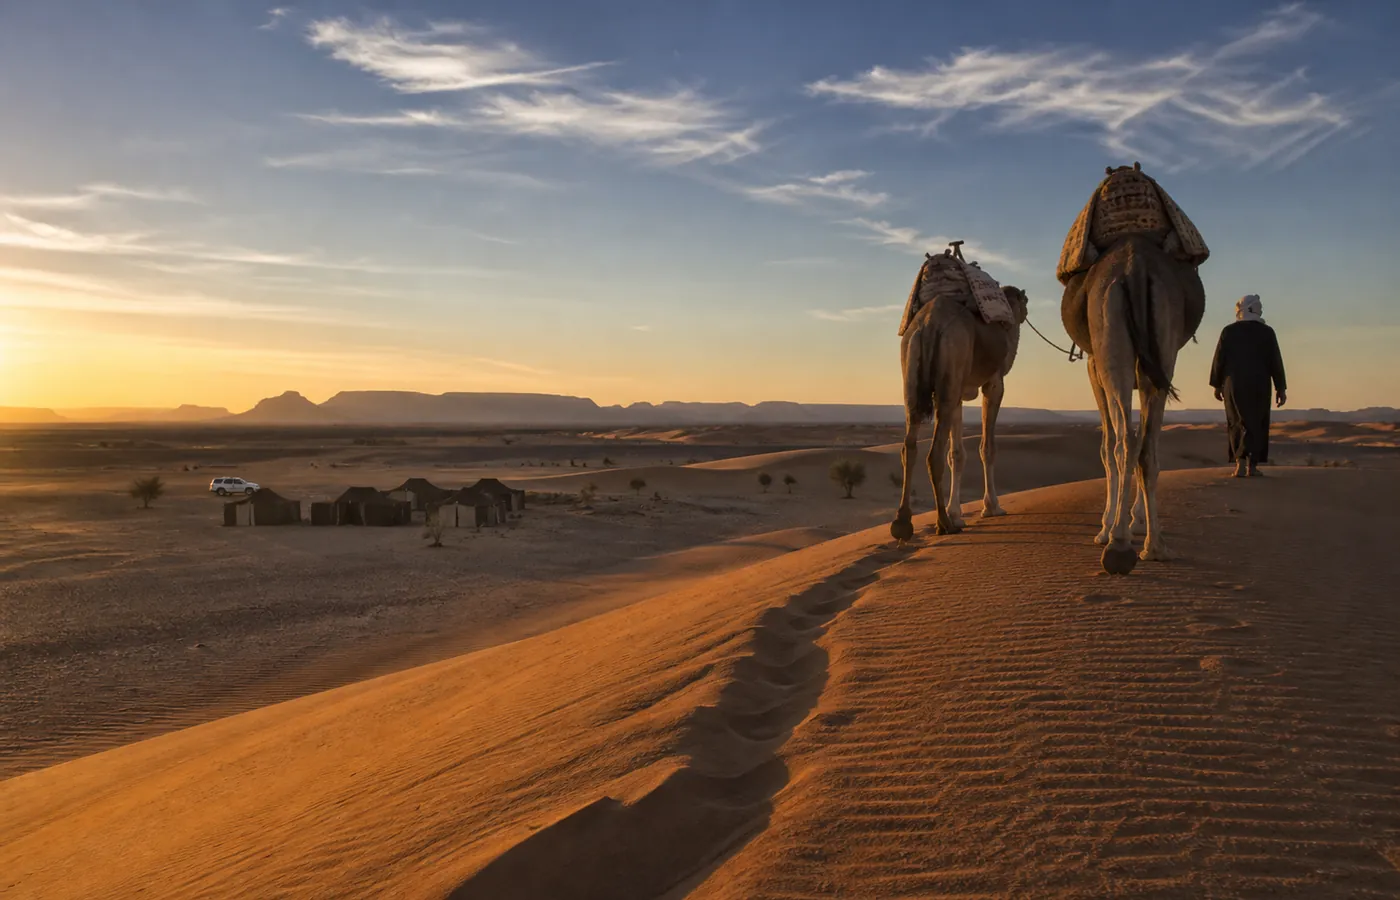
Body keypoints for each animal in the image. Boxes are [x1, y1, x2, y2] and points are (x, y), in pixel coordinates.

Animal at [890, 283, 1029, 541]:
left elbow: (956, 454)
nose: (1024, 313)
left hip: (913, 374)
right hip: (951, 362)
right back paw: (943, 523)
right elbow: (987, 448)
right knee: (933, 454)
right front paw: (992, 507)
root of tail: (928, 324)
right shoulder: (994, 383)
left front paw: (957, 514)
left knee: (909, 446)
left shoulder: (960, 393)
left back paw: (903, 523)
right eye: (1024, 301)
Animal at [1062, 235, 1205, 574]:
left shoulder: (1094, 371)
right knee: (1146, 445)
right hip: (1163, 350)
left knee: (1123, 440)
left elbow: (1106, 446)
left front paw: (1106, 527)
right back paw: (1155, 547)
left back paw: (1117, 544)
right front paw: (1136, 520)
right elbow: (1142, 441)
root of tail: (1135, 267)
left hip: (1111, 350)